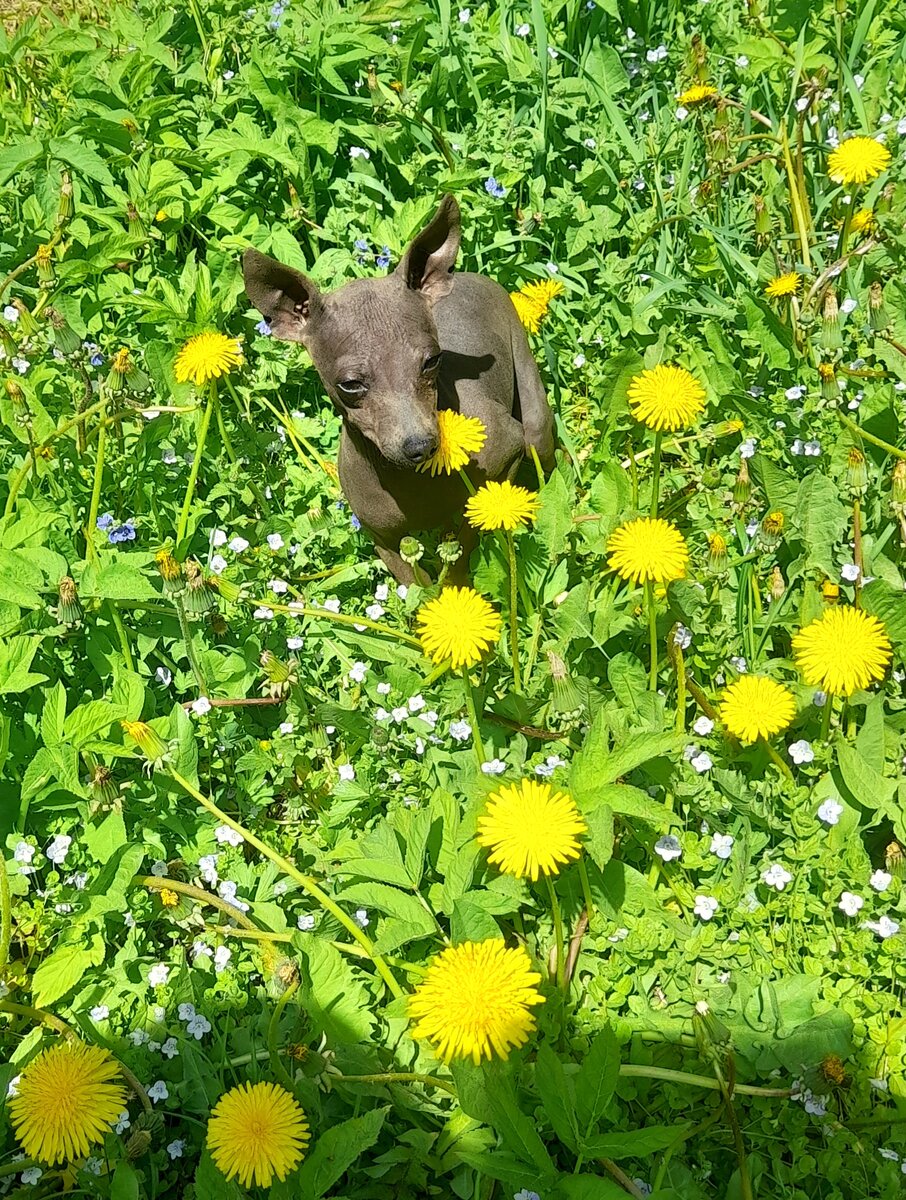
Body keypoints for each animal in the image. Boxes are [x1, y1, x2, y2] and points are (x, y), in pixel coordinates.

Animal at [242, 194, 552, 583]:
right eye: (350, 384)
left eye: (432, 361)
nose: (420, 446)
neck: (413, 482)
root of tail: (465, 275)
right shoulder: (384, 541)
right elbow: (417, 589)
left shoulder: (506, 454)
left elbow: (466, 543)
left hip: (533, 415)